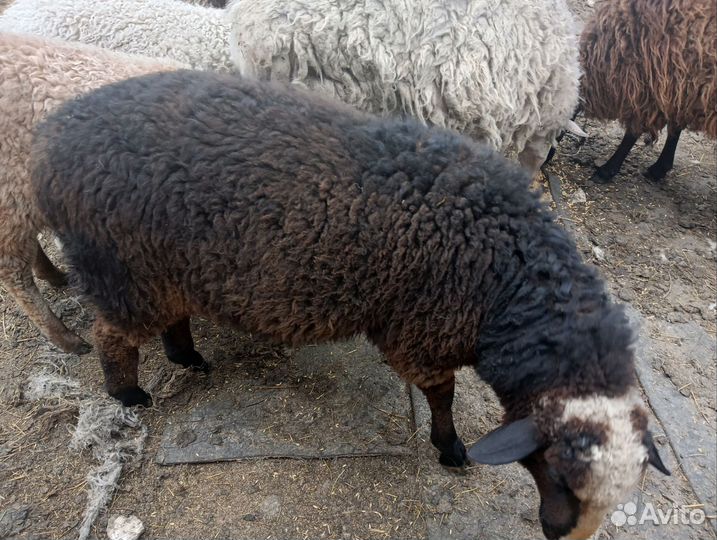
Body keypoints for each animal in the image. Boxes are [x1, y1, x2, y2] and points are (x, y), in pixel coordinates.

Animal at [31, 69, 670, 540]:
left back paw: (187, 357)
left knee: (168, 319)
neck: (506, 274)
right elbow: (443, 395)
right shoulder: (423, 331)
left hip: (164, 270)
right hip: (124, 268)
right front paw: (450, 448)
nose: (563, 535)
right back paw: (129, 394)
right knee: (112, 337)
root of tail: (49, 147)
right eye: (555, 471)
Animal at [580, 0, 716, 183]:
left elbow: (633, 133)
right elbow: (675, 128)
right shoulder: (680, 88)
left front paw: (607, 169)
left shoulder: (656, 85)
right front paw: (660, 168)